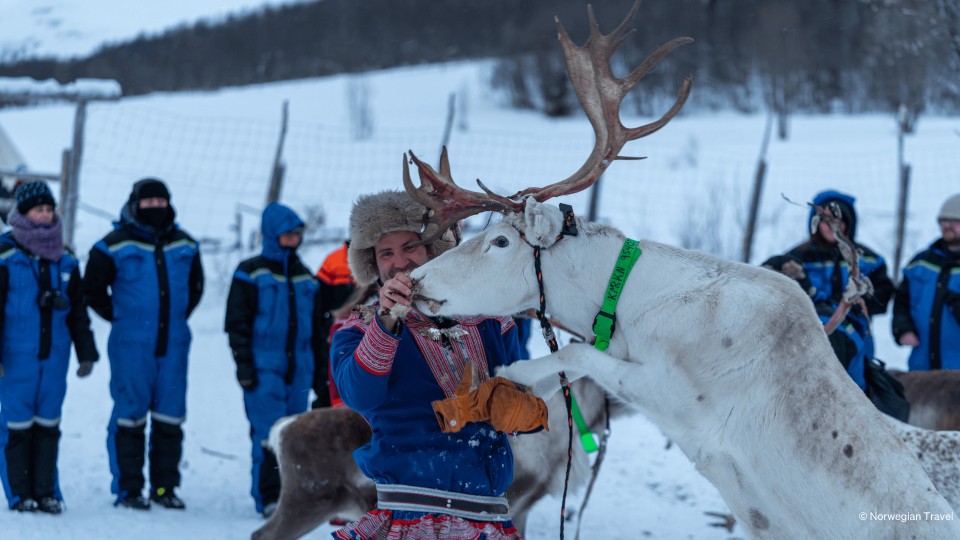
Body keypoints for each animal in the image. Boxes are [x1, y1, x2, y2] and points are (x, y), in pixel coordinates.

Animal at [395, 2, 960, 538]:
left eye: (500, 240)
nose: (417, 283)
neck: (631, 308)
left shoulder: (678, 400)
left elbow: (576, 353)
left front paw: (511, 374)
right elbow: (573, 360)